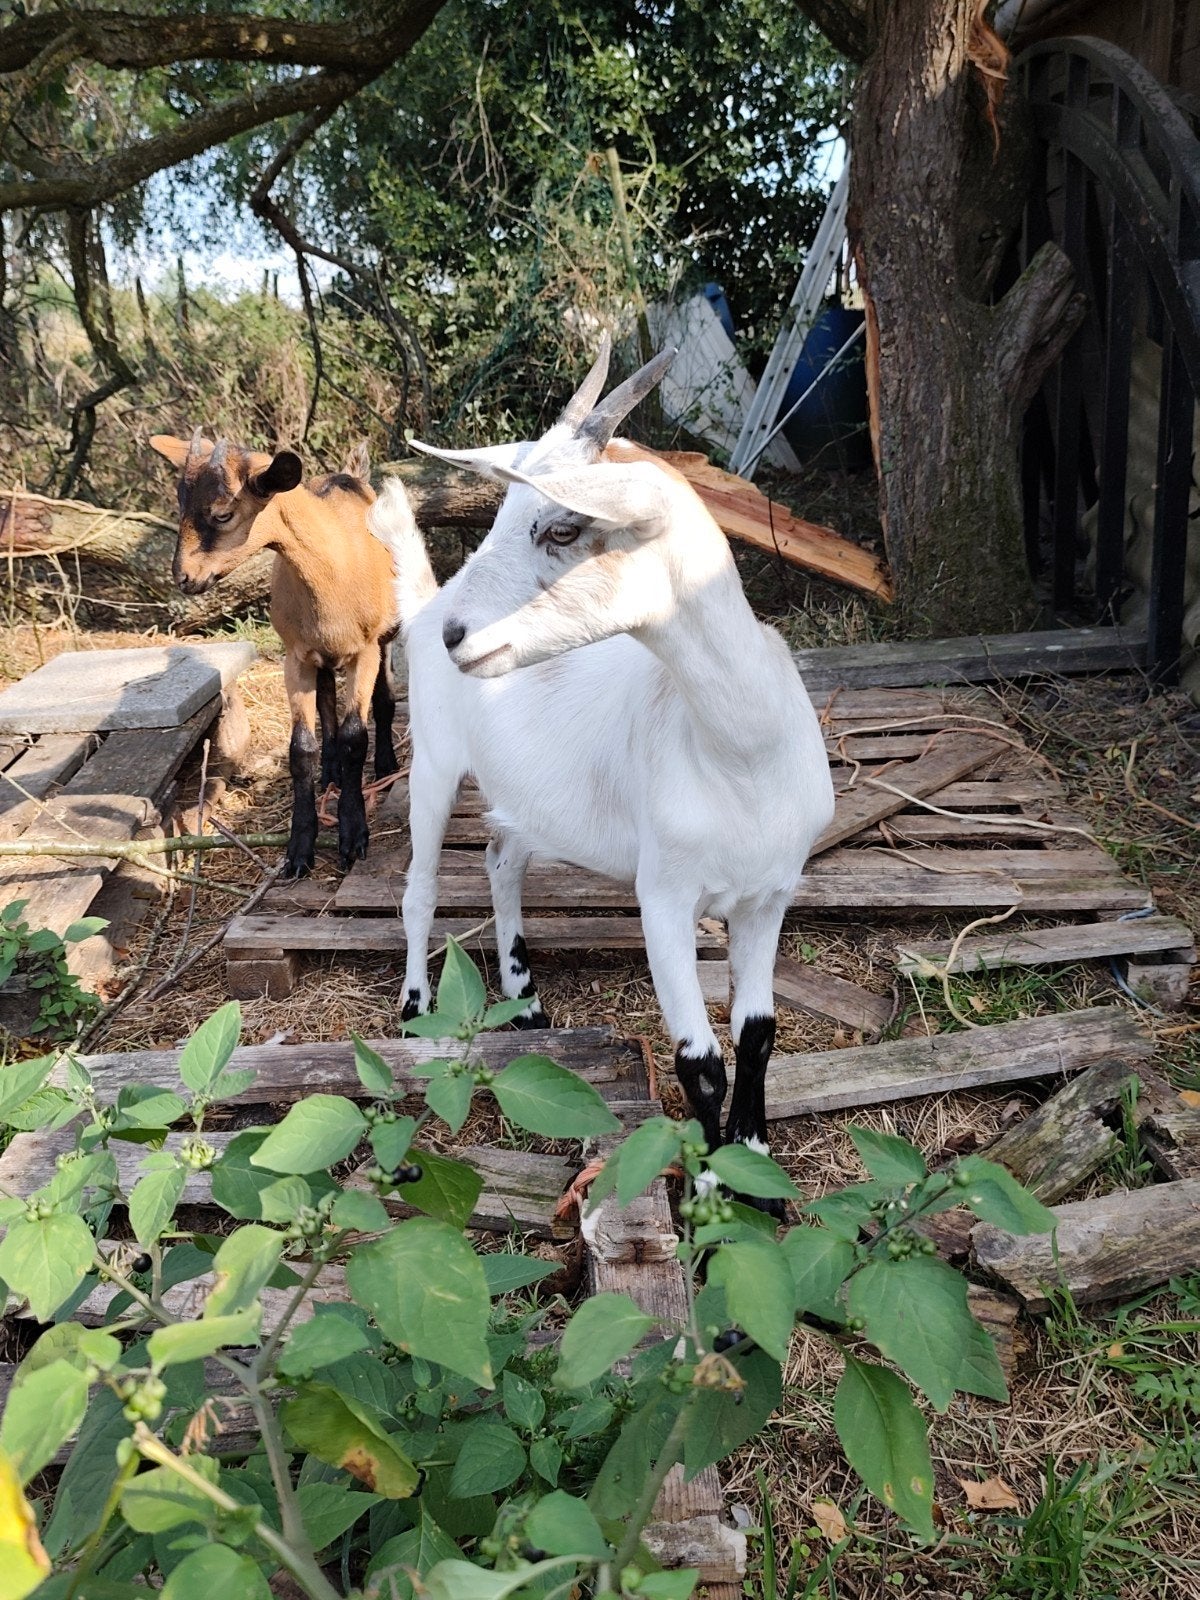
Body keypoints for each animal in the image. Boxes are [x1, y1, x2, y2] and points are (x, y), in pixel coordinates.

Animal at [150, 431, 400, 878]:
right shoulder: (295, 657)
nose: (184, 578)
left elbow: (356, 736)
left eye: (223, 514)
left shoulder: (364, 651)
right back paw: (330, 772)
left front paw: (353, 835)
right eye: (180, 505)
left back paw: (386, 763)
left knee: (384, 699)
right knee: (326, 700)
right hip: (319, 655)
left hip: (384, 636)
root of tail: (352, 475)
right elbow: (300, 748)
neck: (334, 566)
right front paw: (299, 848)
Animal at [368, 336, 835, 1190]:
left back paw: (525, 998)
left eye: (560, 527)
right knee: (418, 890)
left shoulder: (771, 893)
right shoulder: (664, 896)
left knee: (501, 857)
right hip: (434, 766)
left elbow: (758, 1032)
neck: (739, 756)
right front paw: (712, 1188)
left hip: (520, 795)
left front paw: (756, 1168)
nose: (456, 636)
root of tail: (422, 603)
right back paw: (416, 1007)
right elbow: (700, 1061)